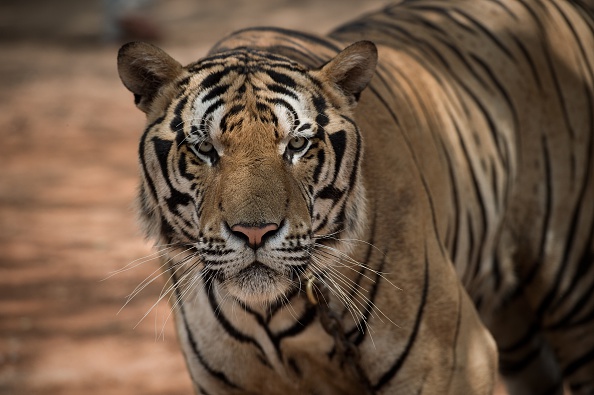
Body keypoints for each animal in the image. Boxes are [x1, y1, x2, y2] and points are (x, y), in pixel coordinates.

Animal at [117, 0, 592, 394]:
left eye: (296, 145)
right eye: (204, 149)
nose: (255, 233)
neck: (269, 314)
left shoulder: (453, 361)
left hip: (575, 297)